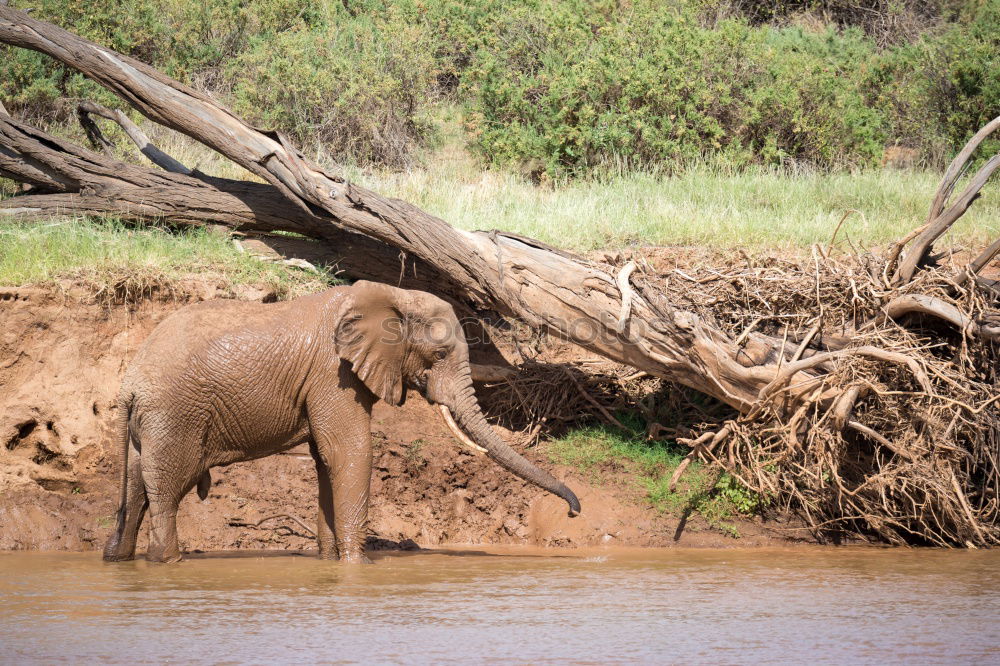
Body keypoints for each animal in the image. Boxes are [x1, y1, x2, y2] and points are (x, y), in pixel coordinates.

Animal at [101, 278, 580, 564]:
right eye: (440, 354)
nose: (574, 511)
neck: (392, 296)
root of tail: (127, 384)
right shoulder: (333, 374)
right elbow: (350, 451)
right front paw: (358, 565)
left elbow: (325, 460)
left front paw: (330, 562)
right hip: (174, 415)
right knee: (166, 491)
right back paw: (168, 562)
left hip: (150, 424)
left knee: (137, 489)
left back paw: (118, 559)